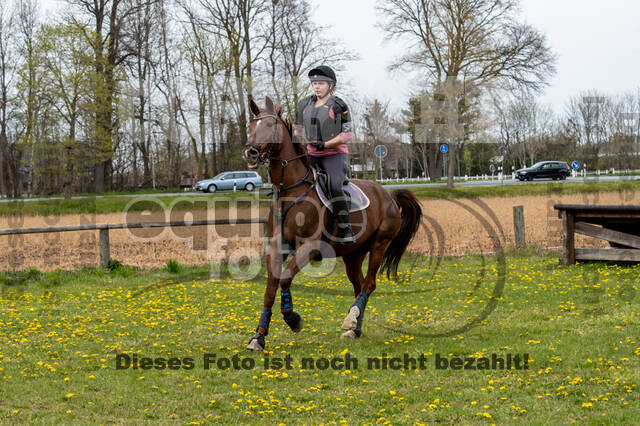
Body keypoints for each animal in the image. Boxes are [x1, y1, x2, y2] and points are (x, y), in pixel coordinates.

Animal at [242, 96, 422, 350]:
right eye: (250, 126)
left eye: (269, 125)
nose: (250, 152)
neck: (290, 191)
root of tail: (387, 194)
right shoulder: (276, 248)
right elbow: (271, 288)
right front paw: (258, 337)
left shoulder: (309, 247)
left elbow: (285, 279)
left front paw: (292, 319)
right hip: (353, 255)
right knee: (359, 285)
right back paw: (354, 327)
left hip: (379, 245)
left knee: (369, 284)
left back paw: (351, 320)